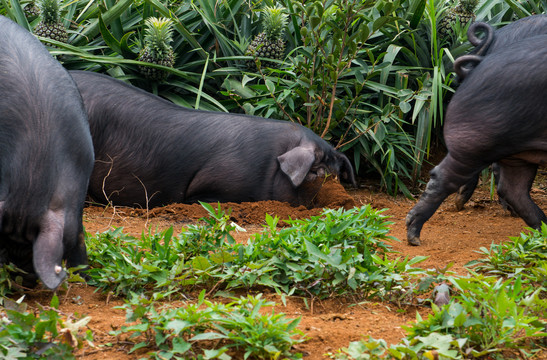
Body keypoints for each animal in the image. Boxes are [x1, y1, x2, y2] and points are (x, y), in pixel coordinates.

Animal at [408, 35, 547, 246]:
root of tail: (475, 70)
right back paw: (414, 238)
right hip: (475, 142)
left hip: (516, 153)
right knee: (442, 177)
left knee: (514, 189)